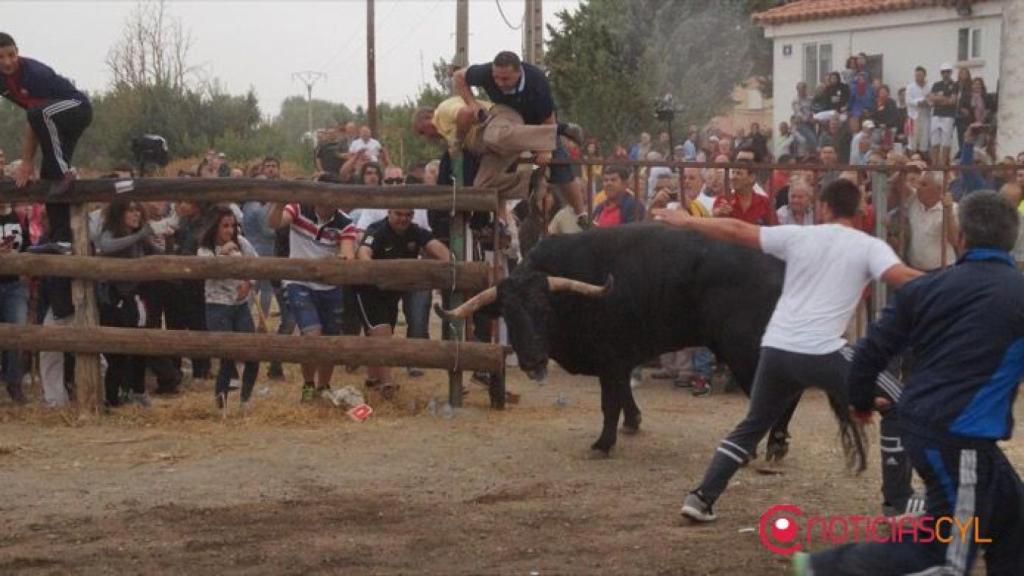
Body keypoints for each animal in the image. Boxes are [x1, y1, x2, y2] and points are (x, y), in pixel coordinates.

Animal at [444, 224, 802, 453]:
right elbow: (623, 396)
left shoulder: (611, 360)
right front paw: (632, 423)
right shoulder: (619, 362)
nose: (533, 361)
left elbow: (610, 402)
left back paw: (771, 442)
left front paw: (604, 443)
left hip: (745, 352)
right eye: (508, 315)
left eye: (544, 309)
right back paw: (776, 441)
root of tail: (781, 265)